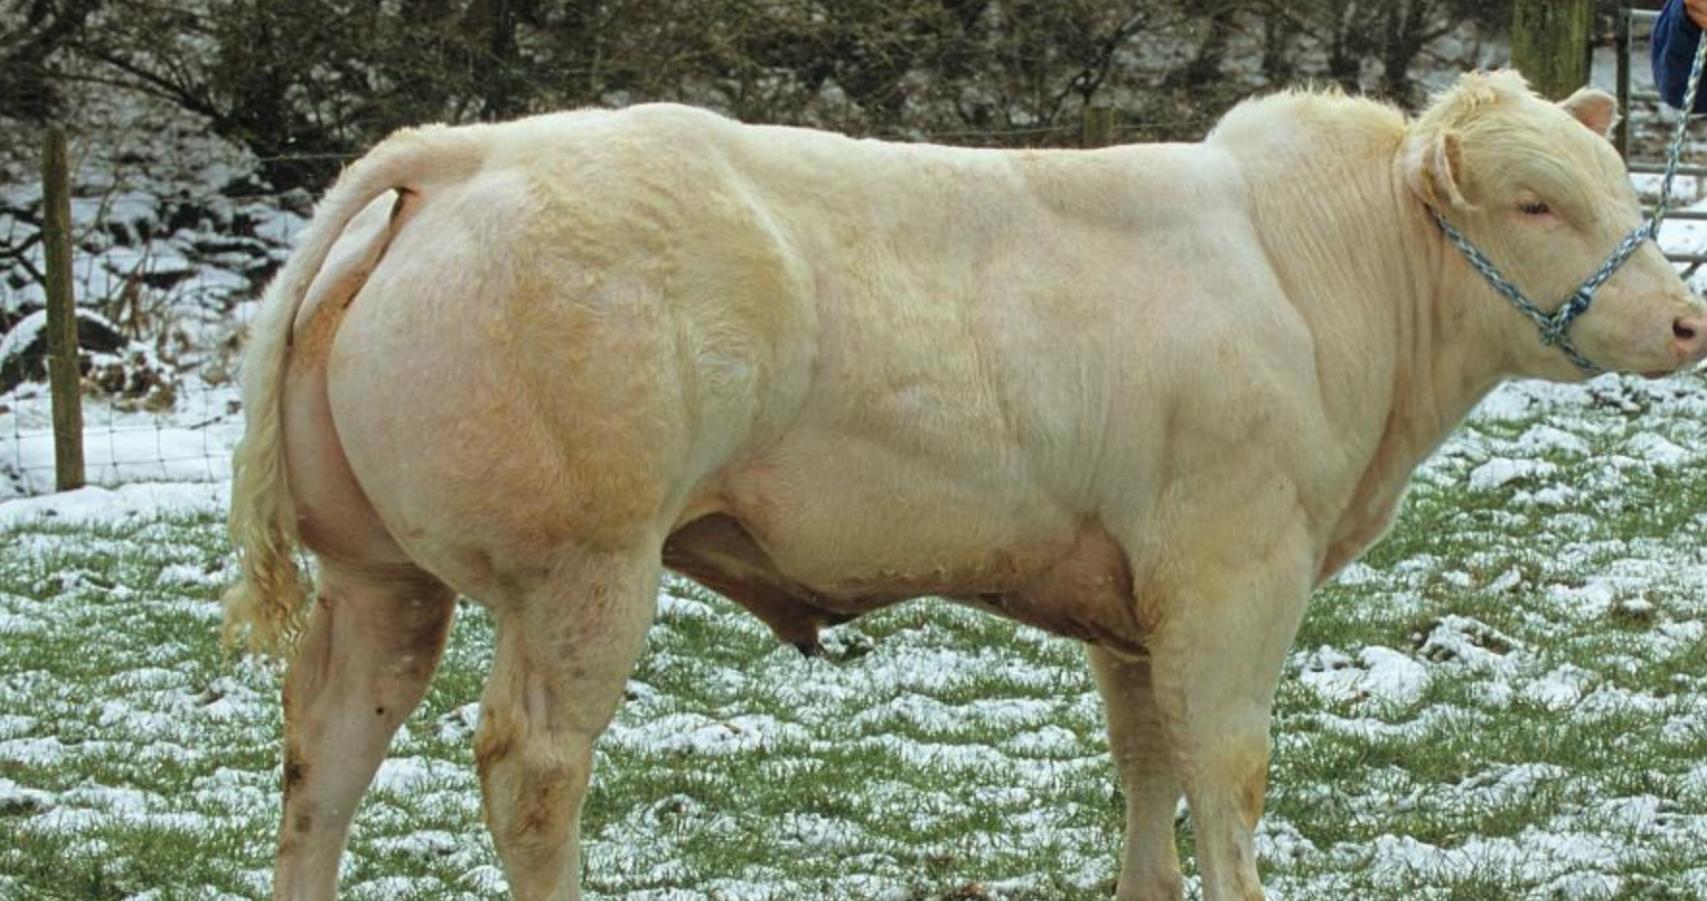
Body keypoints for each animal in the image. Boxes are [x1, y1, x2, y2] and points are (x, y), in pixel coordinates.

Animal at [223, 70, 1707, 900]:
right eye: (1532, 203)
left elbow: (1144, 762)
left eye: (1613, 180)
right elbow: (1224, 771)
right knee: (530, 770)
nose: (1687, 321)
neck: (1309, 276)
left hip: (380, 578)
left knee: (325, 750)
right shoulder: (1234, 568)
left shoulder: (1133, 595)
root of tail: (468, 150)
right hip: (579, 567)